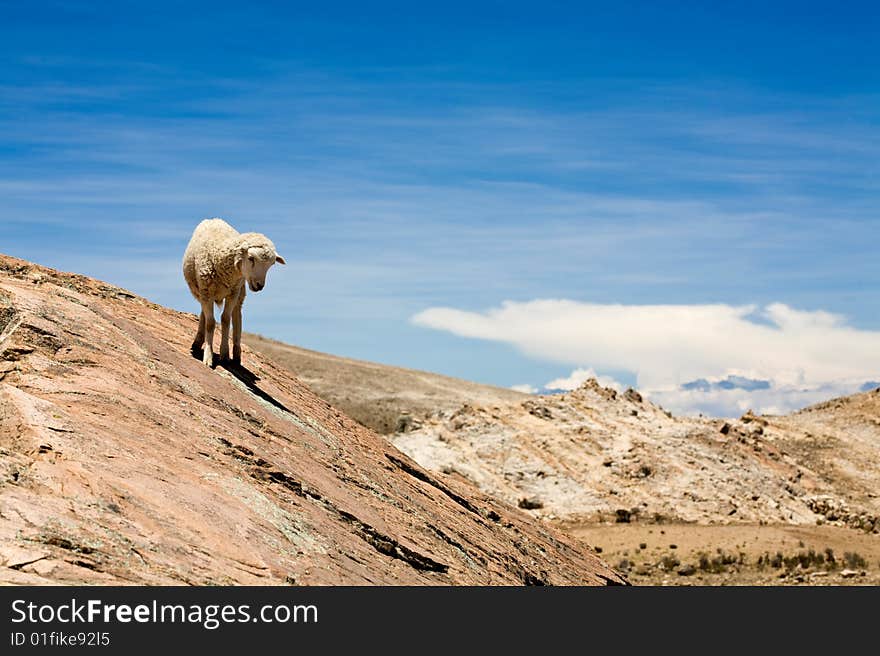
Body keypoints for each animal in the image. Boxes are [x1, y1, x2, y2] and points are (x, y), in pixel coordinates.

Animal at [181, 218, 286, 366]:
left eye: (271, 265)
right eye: (251, 258)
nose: (259, 286)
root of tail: (214, 219)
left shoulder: (233, 293)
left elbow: (226, 319)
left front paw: (224, 354)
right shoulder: (206, 291)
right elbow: (210, 323)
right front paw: (208, 356)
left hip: (240, 291)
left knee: (237, 316)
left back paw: (236, 354)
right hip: (201, 291)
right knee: (204, 314)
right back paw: (198, 342)